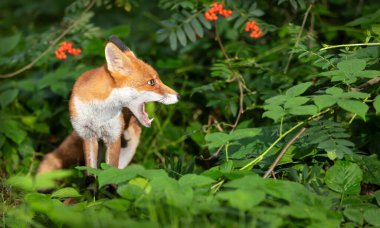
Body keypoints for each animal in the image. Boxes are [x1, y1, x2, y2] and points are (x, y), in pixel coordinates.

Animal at [36, 36, 178, 174]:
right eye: (152, 82)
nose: (179, 96)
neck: (99, 114)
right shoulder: (88, 136)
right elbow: (91, 173)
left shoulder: (113, 138)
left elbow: (110, 174)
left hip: (129, 146)